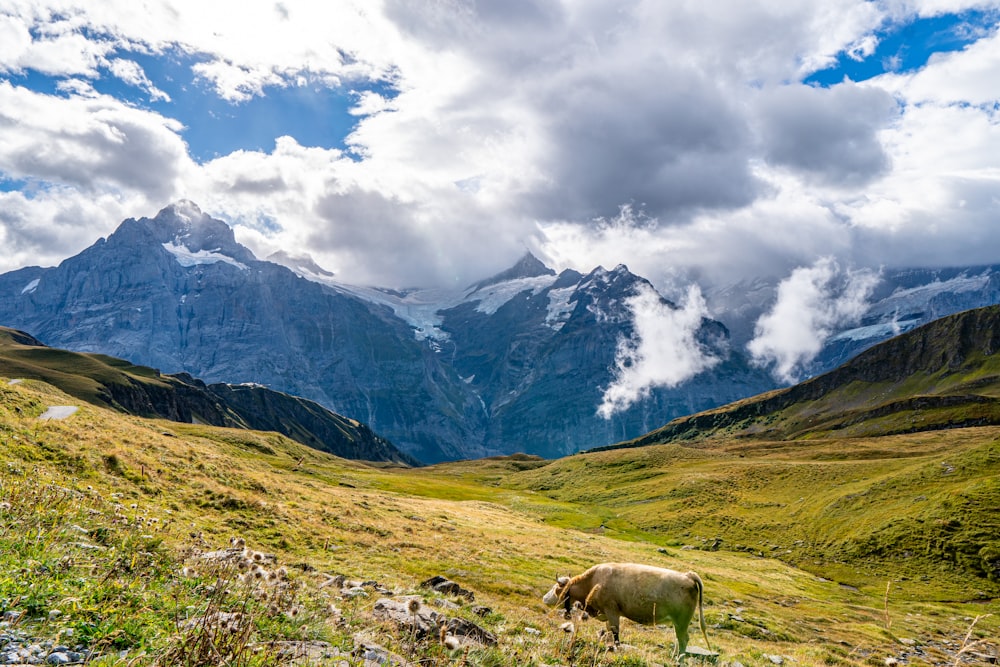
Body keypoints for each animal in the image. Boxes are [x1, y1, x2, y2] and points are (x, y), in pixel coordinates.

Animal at [540, 564, 712, 656]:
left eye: (555, 588)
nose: (544, 598)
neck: (593, 581)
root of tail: (688, 575)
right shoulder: (607, 613)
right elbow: (609, 631)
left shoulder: (612, 610)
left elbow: (615, 632)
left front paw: (616, 648)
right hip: (679, 622)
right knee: (680, 639)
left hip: (682, 619)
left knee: (683, 639)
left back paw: (678, 658)